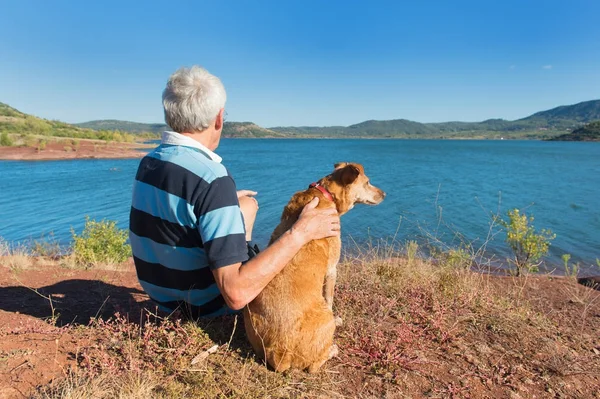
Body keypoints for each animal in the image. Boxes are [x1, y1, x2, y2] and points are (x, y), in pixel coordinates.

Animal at [243, 163, 384, 376]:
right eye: (367, 182)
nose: (384, 194)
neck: (326, 193)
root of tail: (280, 352)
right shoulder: (332, 269)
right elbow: (330, 298)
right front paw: (338, 319)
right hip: (324, 319)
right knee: (313, 367)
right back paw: (332, 349)